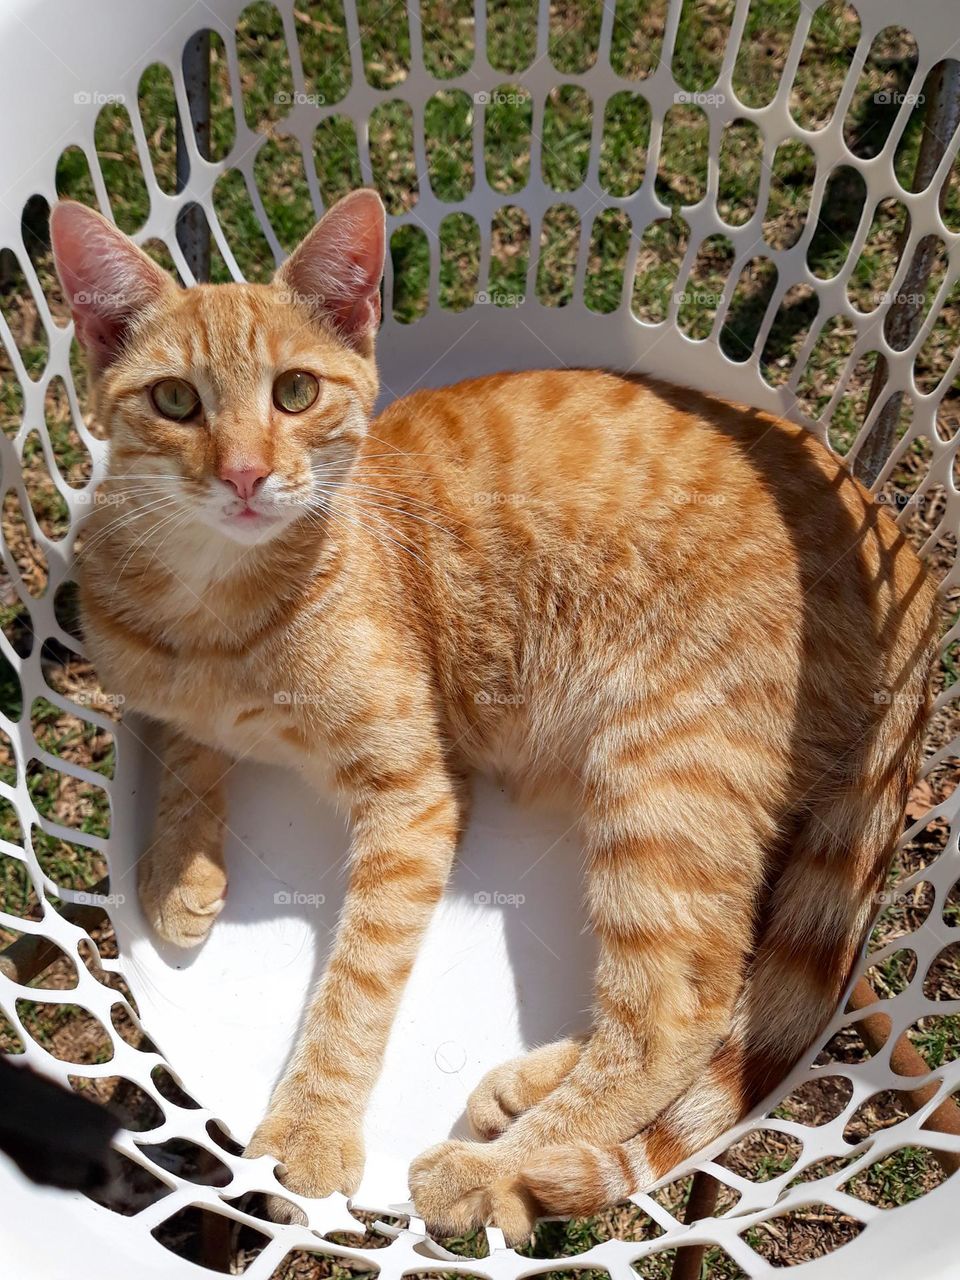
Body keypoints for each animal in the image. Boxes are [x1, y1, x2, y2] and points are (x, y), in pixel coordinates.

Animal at [52, 189, 942, 1239]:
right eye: (176, 402)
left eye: (295, 394)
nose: (242, 475)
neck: (214, 608)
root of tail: (904, 556)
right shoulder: (158, 689)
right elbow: (186, 743)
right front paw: (178, 867)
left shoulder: (417, 794)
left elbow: (357, 980)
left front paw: (310, 1128)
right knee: (738, 990)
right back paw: (525, 1095)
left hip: (663, 775)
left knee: (682, 1009)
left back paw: (496, 1172)